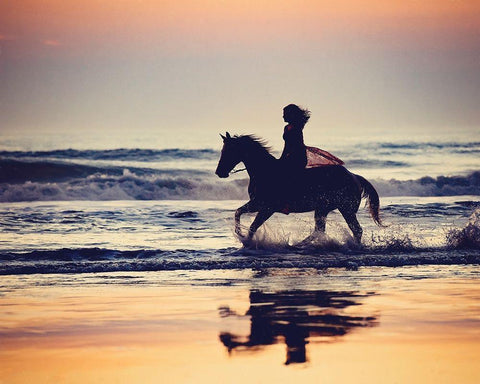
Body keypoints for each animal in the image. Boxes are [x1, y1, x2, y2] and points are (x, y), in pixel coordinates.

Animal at [215, 132, 382, 243]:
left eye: (229, 151)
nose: (219, 172)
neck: (265, 171)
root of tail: (354, 176)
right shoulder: (258, 204)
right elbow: (238, 212)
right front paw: (240, 234)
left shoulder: (266, 207)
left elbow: (252, 226)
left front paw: (245, 241)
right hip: (323, 209)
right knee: (320, 230)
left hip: (345, 210)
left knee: (356, 230)